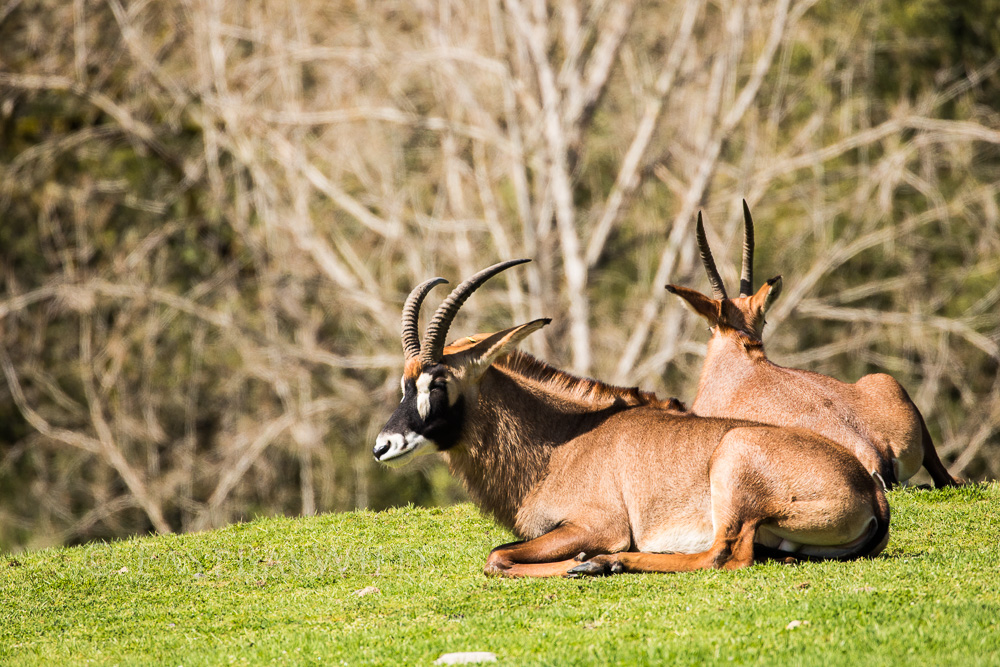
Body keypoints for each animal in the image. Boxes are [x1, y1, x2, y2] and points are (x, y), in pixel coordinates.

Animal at [372, 260, 888, 580]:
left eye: (438, 383)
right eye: (404, 382)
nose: (383, 446)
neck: (561, 442)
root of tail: (872, 492)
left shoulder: (599, 526)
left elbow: (496, 557)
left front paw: (582, 561)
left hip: (733, 466)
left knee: (724, 556)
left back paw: (604, 564)